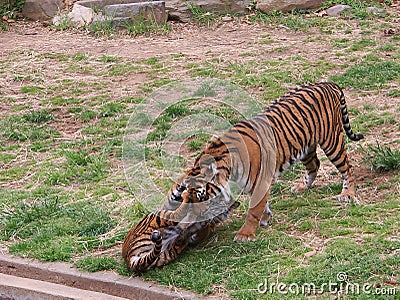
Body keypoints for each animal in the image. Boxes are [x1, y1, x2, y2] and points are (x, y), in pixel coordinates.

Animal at [164, 82, 364, 244]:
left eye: (200, 197)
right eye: (185, 198)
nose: (191, 221)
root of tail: (327, 83)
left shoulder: (260, 181)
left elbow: (253, 209)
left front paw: (245, 234)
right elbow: (261, 204)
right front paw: (266, 217)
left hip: (332, 141)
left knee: (347, 168)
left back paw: (347, 194)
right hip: (305, 147)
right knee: (315, 164)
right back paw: (302, 187)